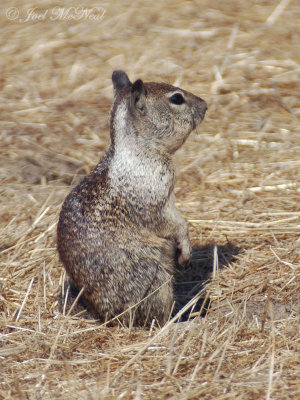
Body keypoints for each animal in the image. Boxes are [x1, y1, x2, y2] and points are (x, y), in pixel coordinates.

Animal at [56, 70, 206, 326]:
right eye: (177, 98)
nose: (205, 105)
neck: (139, 149)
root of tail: (104, 317)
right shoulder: (157, 200)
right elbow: (176, 224)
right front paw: (186, 250)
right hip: (154, 278)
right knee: (155, 317)